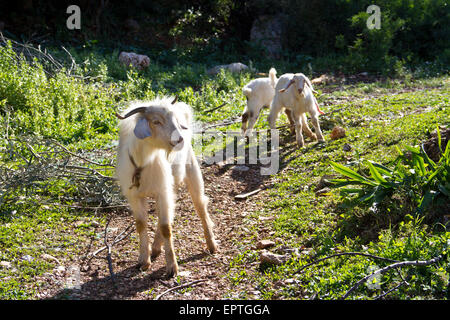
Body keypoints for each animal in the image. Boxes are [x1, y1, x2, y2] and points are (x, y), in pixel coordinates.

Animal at [114, 96, 216, 276]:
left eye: (174, 119)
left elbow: (166, 227)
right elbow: (141, 224)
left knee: (200, 206)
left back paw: (211, 245)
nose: (179, 139)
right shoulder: (134, 196)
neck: (143, 162)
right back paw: (155, 248)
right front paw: (144, 260)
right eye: (156, 121)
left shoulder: (162, 191)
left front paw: (172, 267)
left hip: (192, 172)